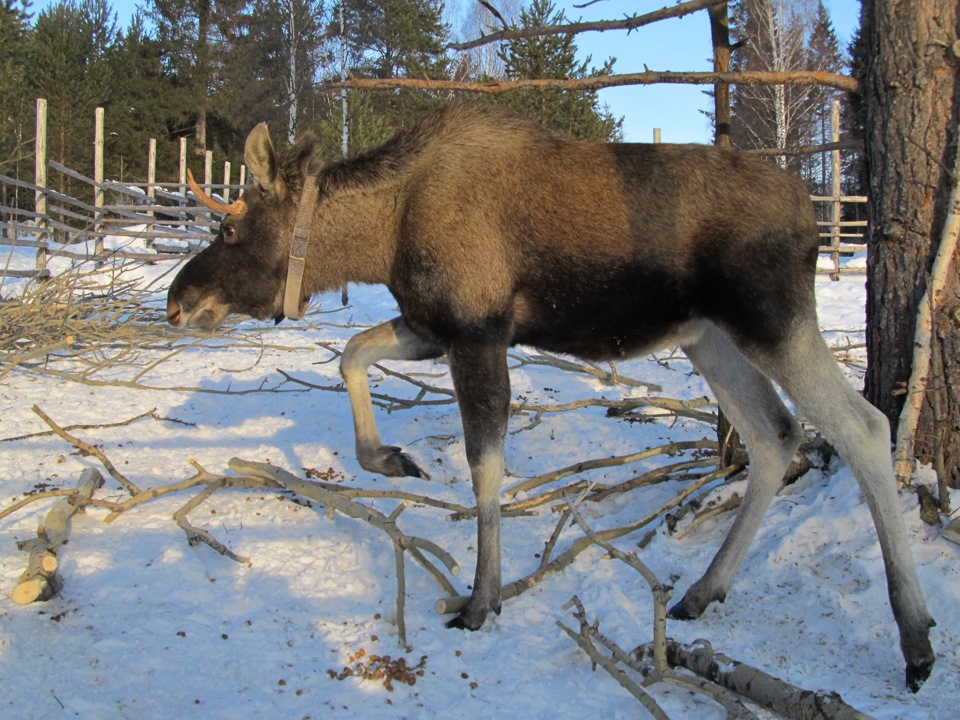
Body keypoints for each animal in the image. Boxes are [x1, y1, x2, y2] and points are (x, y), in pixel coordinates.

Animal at [169, 102, 932, 692]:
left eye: (230, 228)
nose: (179, 301)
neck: (384, 235)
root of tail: (812, 214)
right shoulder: (433, 326)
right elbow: (353, 353)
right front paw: (392, 459)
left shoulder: (477, 330)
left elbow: (485, 467)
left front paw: (482, 599)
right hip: (707, 337)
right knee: (776, 434)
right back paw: (702, 590)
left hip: (772, 318)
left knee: (863, 426)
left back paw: (917, 640)